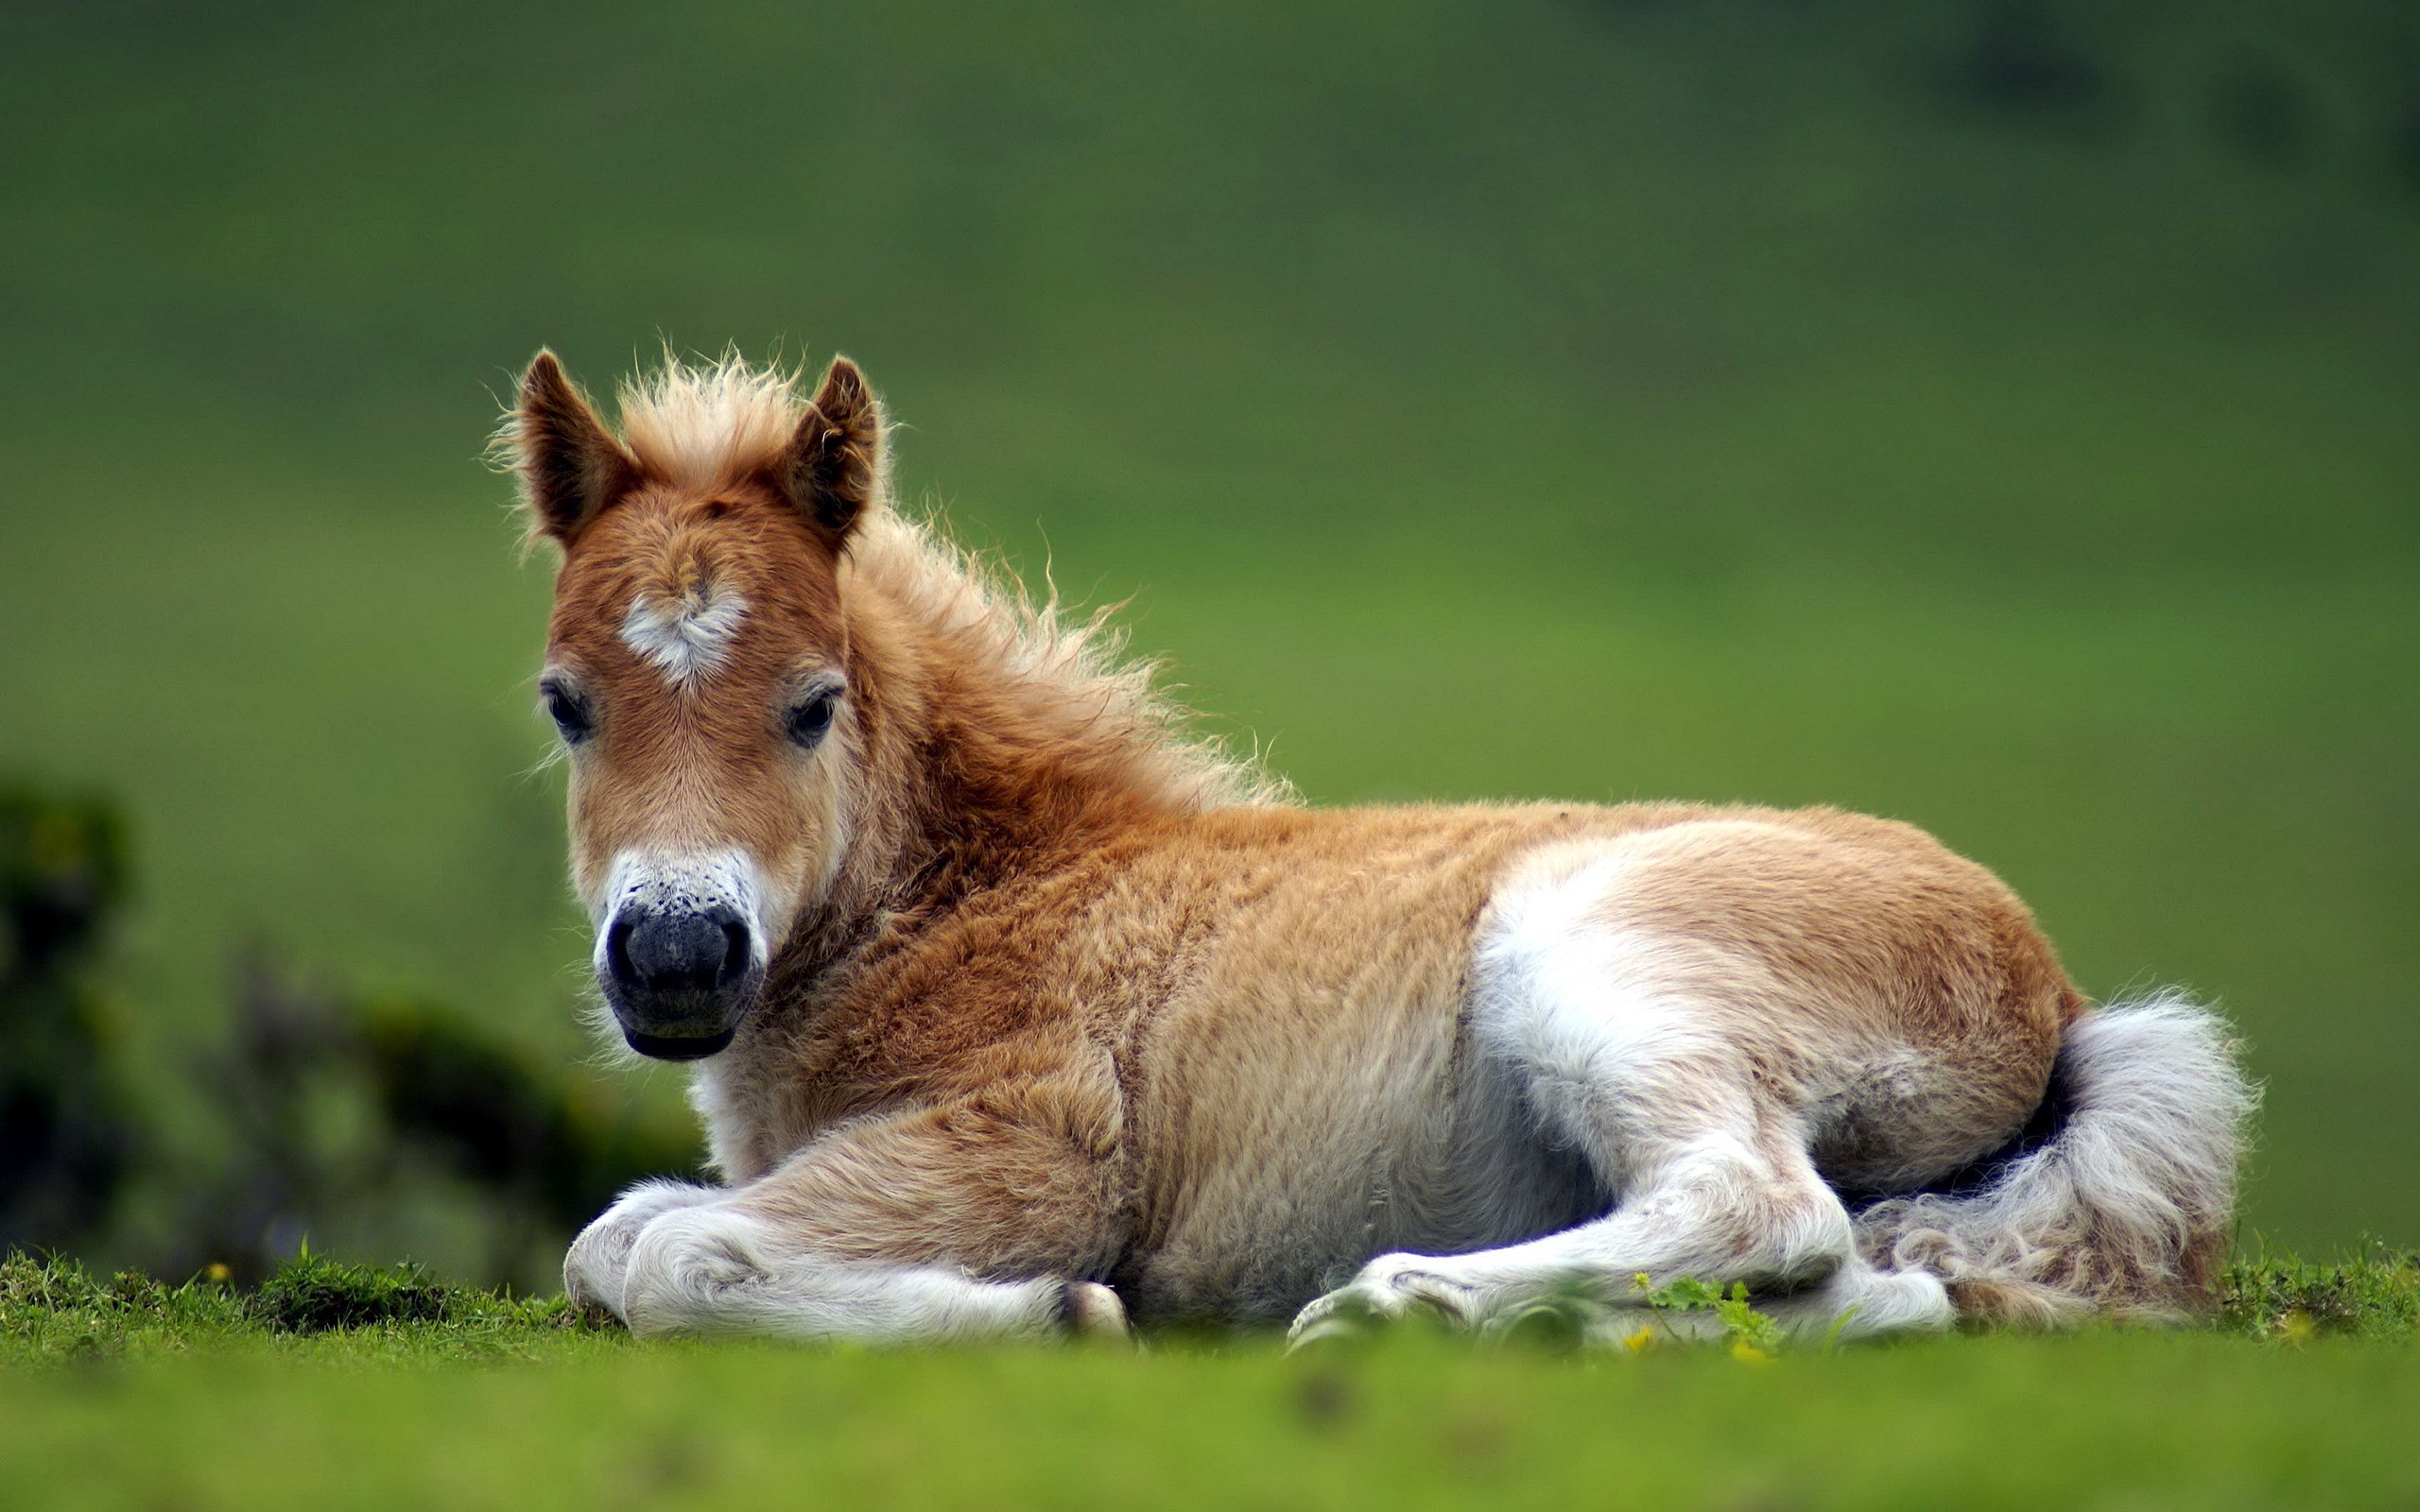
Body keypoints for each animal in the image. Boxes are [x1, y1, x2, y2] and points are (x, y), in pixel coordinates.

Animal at [502, 350, 2253, 1345]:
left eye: (812, 706)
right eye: (566, 703)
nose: (674, 957)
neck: (992, 890)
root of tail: (2056, 995)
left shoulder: (1024, 1146)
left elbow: (673, 1257)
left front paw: (1058, 1312)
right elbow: (614, 1238)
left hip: (1592, 950)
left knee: (1764, 1210)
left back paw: (1392, 1303)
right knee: (1872, 1290)